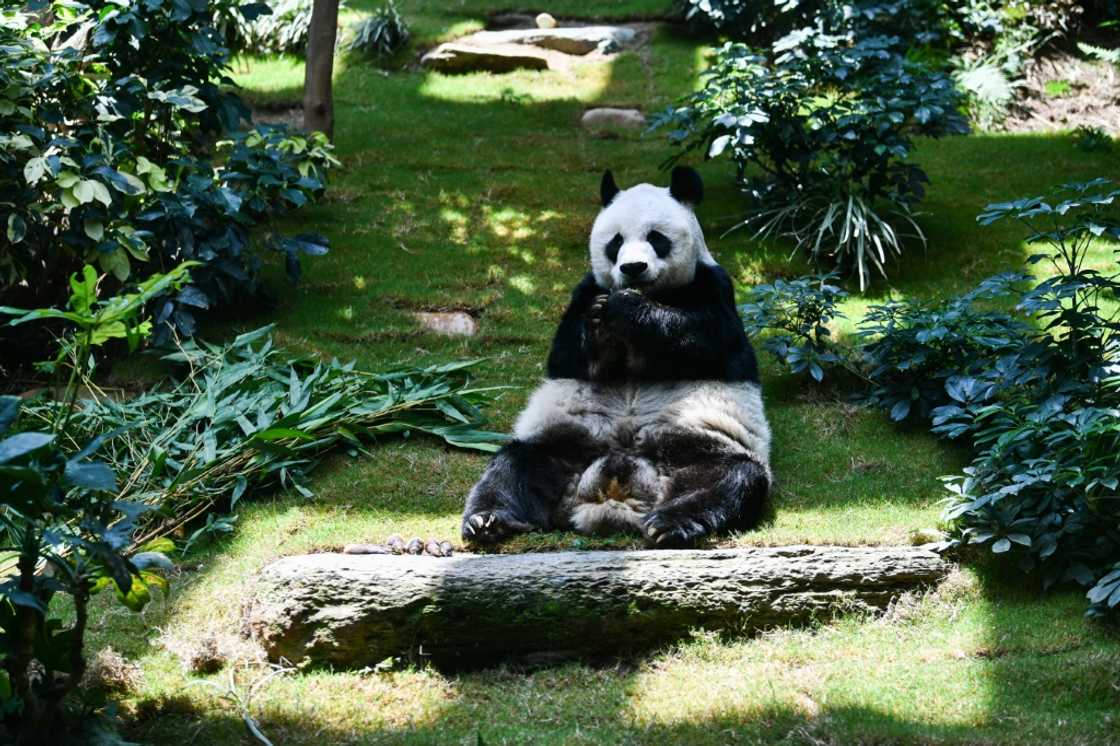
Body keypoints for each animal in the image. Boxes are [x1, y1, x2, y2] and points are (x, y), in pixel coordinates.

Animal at [461, 165, 770, 544]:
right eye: (616, 242)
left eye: (656, 237)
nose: (633, 268)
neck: (651, 292)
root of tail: (612, 499)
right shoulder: (585, 291)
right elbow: (568, 354)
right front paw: (598, 325)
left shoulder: (713, 286)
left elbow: (708, 340)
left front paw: (628, 309)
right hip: (566, 445)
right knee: (515, 465)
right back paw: (488, 520)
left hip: (696, 445)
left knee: (730, 478)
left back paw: (670, 523)